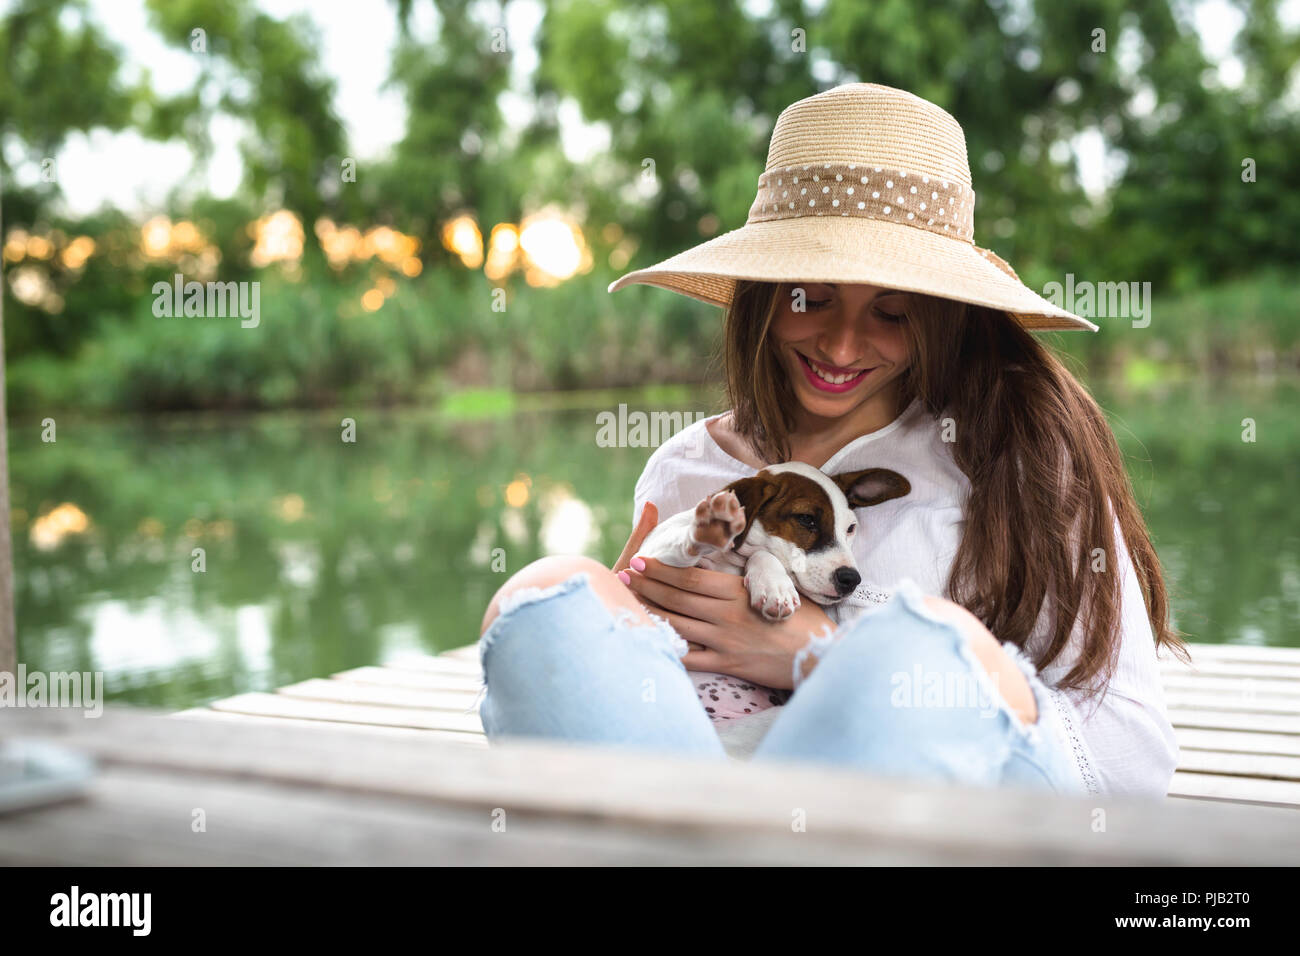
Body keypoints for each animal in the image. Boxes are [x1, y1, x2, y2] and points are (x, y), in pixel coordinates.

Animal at [634, 463, 909, 723]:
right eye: (806, 519)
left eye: (850, 528)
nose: (851, 579)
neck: (730, 561)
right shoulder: (649, 561)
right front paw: (710, 530)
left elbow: (761, 554)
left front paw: (773, 584)